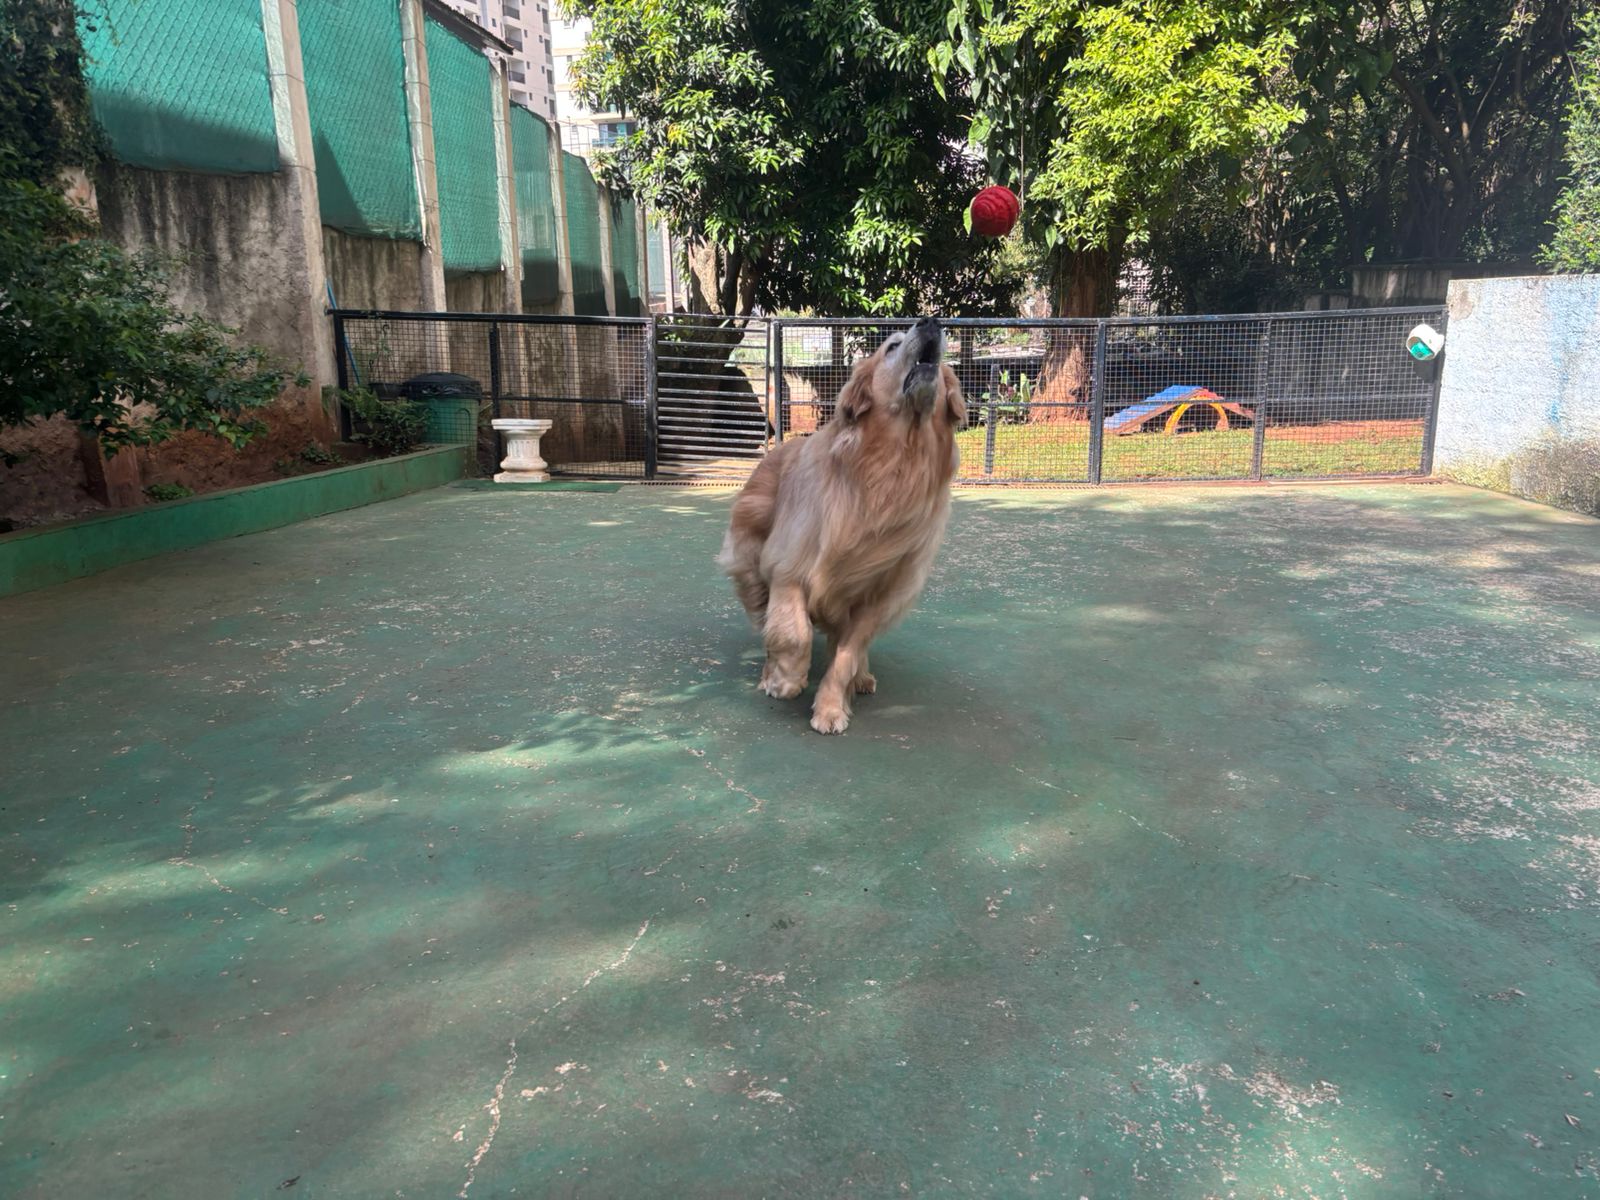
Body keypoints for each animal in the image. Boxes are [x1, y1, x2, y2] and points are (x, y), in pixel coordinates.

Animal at [717, 317, 965, 734]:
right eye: (892, 347)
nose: (931, 322)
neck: (890, 469)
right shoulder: (789, 569)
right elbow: (794, 634)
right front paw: (786, 680)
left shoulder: (877, 597)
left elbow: (846, 654)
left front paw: (831, 707)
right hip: (752, 563)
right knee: (769, 620)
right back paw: (771, 674)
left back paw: (860, 677)